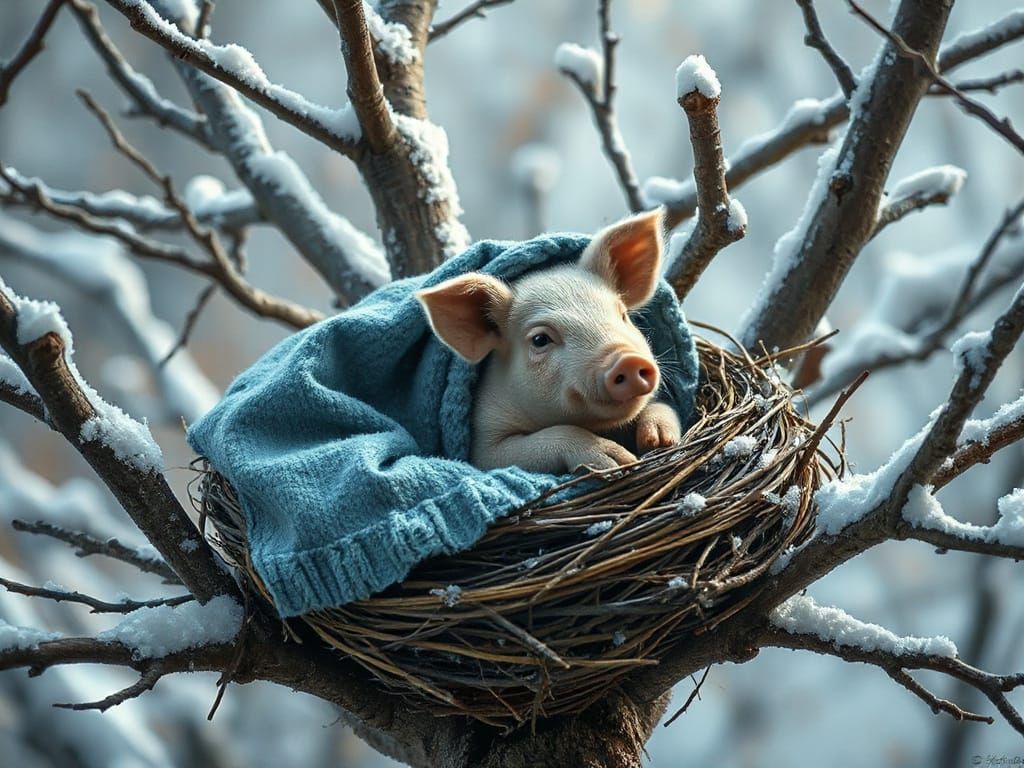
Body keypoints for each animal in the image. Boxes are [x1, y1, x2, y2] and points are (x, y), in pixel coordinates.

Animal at [416, 210, 682, 474]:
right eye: (540, 339)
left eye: (623, 315)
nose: (627, 359)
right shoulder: (483, 446)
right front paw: (620, 461)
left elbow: (663, 407)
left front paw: (659, 440)